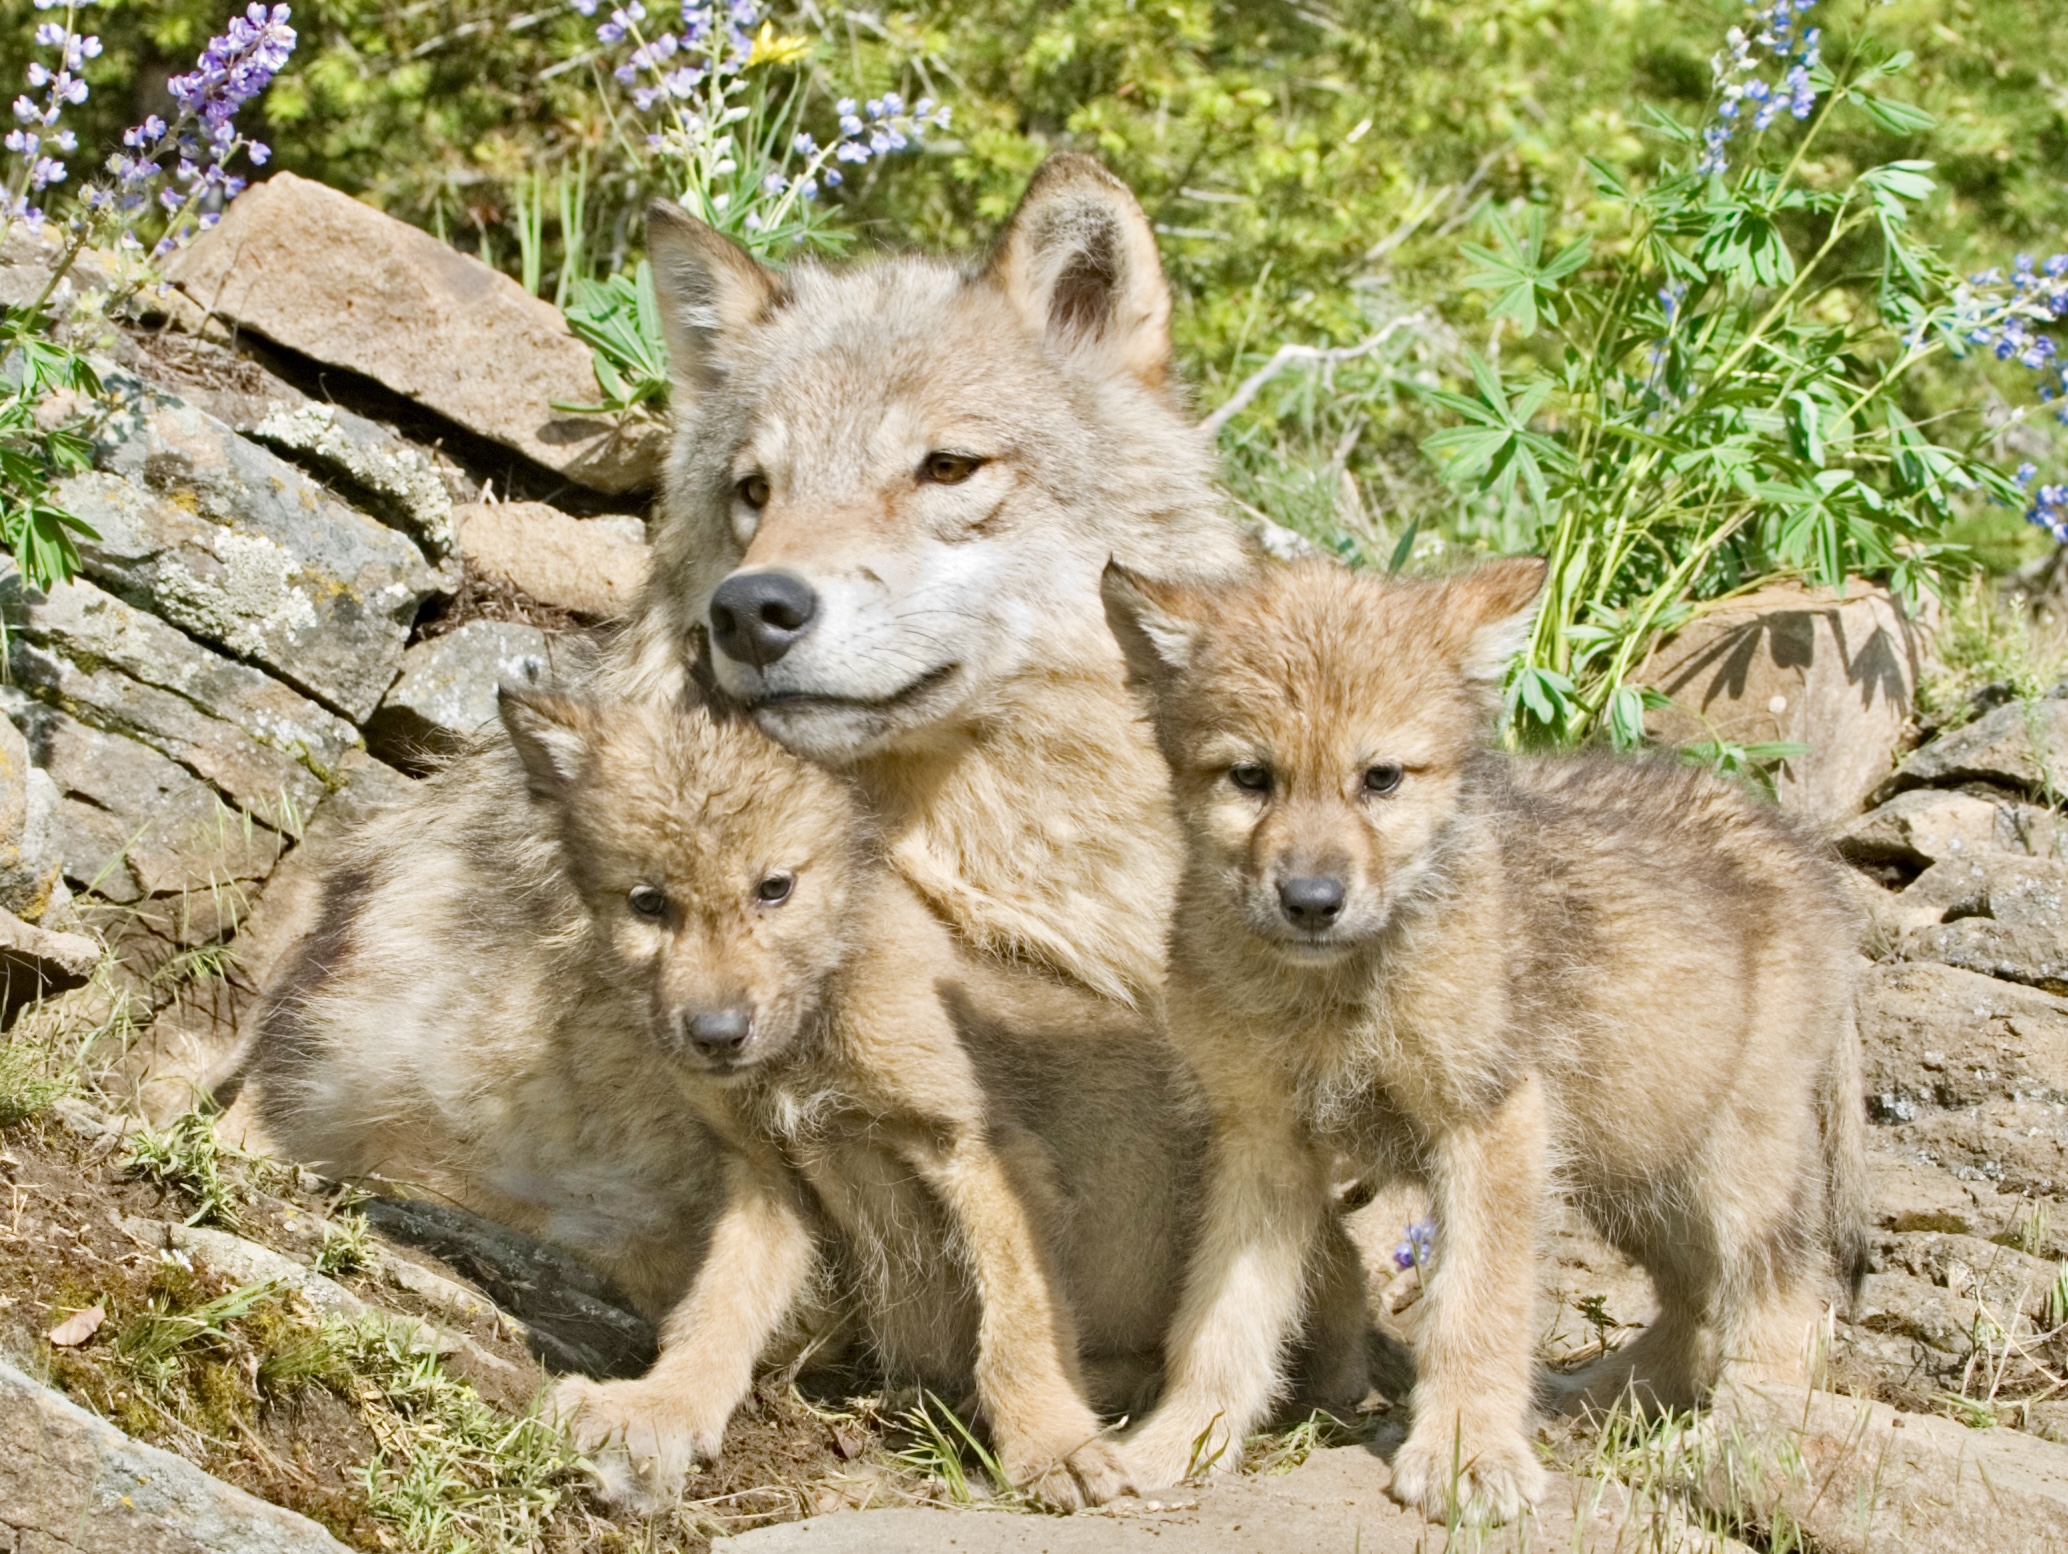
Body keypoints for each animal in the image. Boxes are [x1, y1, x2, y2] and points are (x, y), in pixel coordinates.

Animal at [1101, 557, 1869, 1522]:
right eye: (1250, 777)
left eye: (1381, 778)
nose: (1311, 902)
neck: (1339, 989)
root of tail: (1814, 860)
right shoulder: (1263, 1142)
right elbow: (1219, 1320)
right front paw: (1177, 1444)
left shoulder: (1490, 1125)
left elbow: (1478, 1308)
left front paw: (1467, 1455)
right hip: (1635, 1162)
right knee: (1694, 1305)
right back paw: (1593, 1401)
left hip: (1732, 1167)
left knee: (1786, 1306)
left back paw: (1736, 1444)